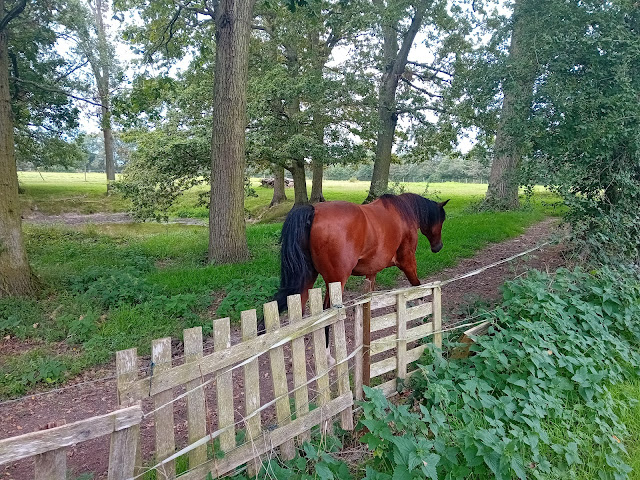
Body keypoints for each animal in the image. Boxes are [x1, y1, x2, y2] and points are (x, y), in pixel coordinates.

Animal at [272, 191, 448, 364]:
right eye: (442, 220)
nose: (438, 247)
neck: (404, 213)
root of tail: (314, 211)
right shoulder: (408, 262)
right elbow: (418, 287)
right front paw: (421, 315)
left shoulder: (372, 272)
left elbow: (368, 298)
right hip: (335, 281)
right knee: (327, 312)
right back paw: (328, 355)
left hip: (308, 280)